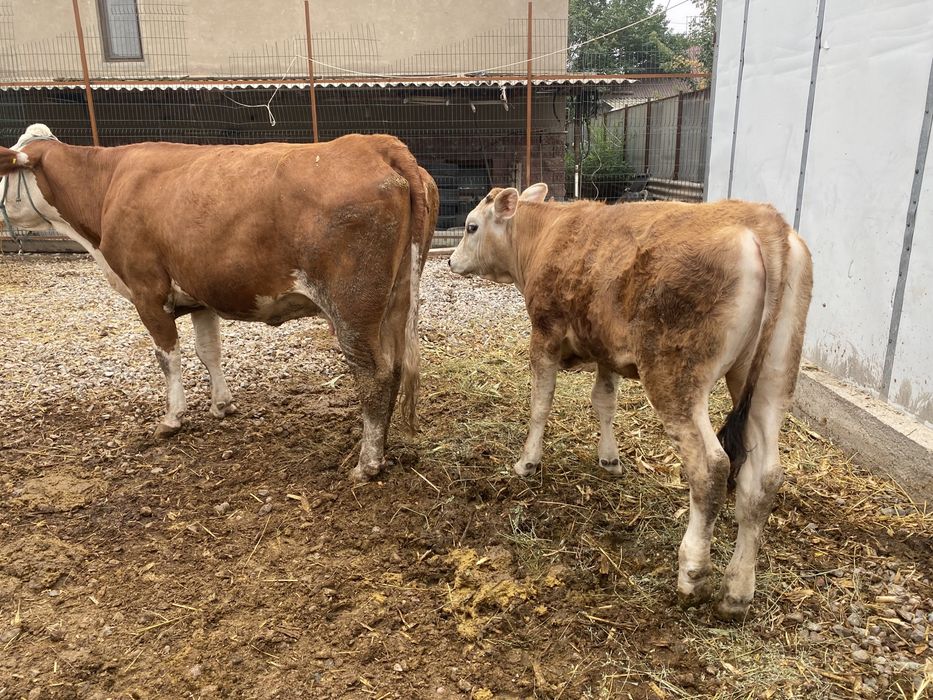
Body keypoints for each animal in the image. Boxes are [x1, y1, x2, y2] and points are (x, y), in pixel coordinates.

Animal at [0, 124, 438, 483]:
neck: (108, 185)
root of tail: (375, 144)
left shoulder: (146, 291)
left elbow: (168, 357)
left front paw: (172, 418)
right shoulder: (199, 295)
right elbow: (208, 350)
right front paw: (222, 405)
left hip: (351, 306)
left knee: (373, 374)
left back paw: (367, 463)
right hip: (396, 298)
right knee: (395, 367)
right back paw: (379, 449)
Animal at [449, 183, 813, 620]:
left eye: (471, 226)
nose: (450, 260)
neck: (545, 234)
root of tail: (763, 220)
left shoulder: (545, 334)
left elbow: (541, 402)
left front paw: (527, 462)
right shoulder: (606, 350)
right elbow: (604, 401)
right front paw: (609, 460)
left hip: (676, 378)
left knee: (711, 468)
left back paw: (692, 575)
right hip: (773, 379)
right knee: (764, 479)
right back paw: (737, 593)